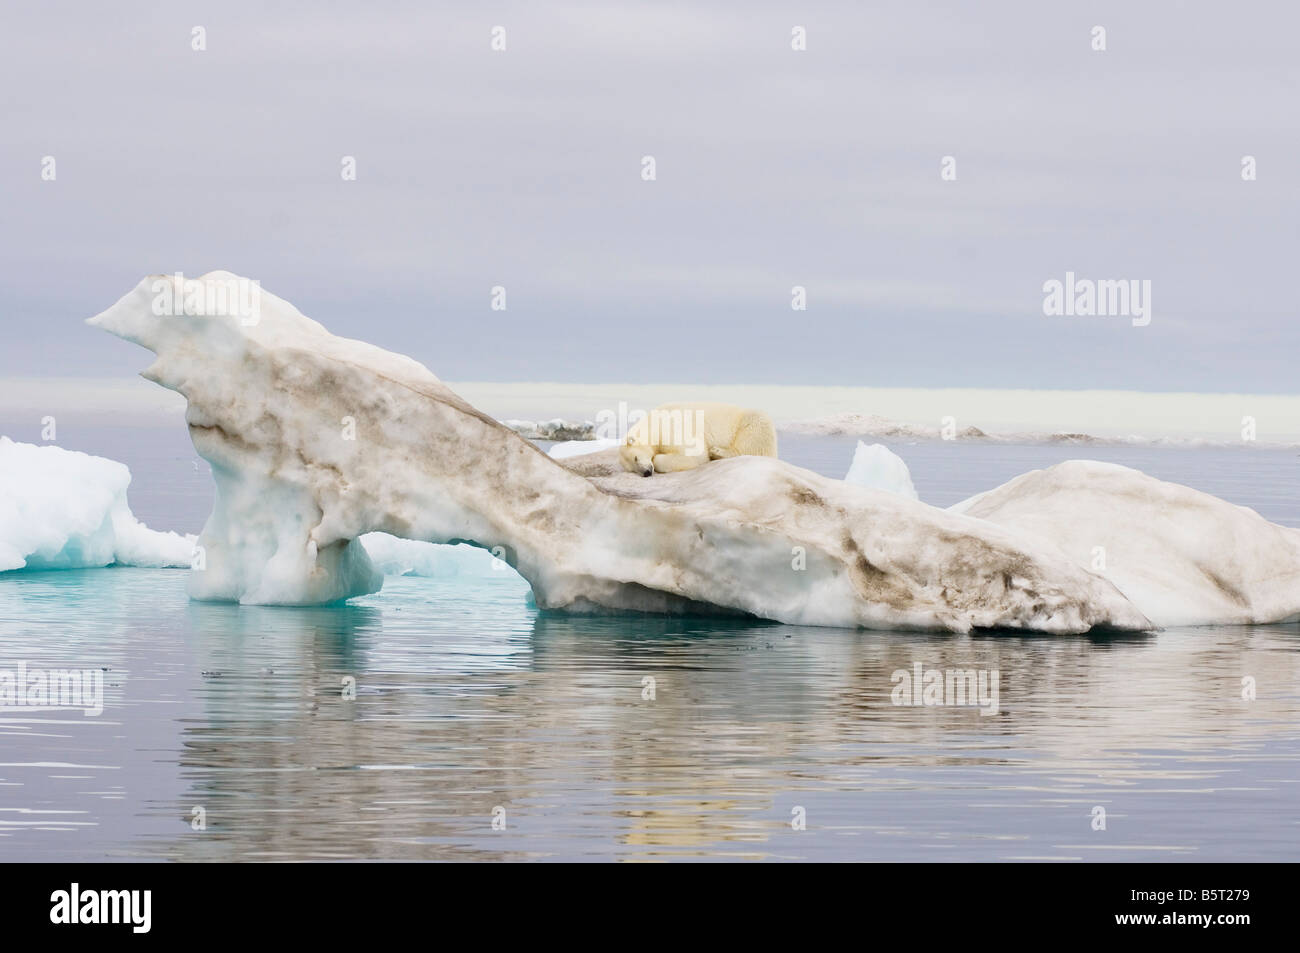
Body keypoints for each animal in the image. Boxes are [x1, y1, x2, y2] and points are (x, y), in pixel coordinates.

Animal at [618, 402, 778, 476]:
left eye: (636, 458)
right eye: (632, 469)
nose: (646, 473)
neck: (655, 422)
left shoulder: (674, 427)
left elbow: (694, 453)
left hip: (751, 422)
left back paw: (717, 452)